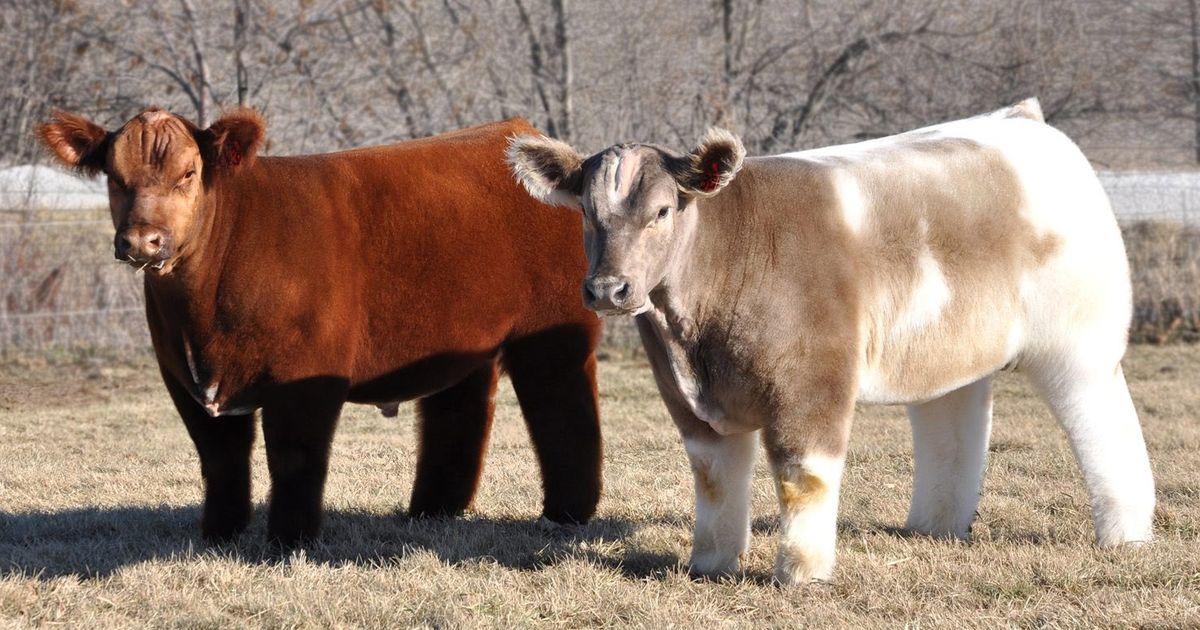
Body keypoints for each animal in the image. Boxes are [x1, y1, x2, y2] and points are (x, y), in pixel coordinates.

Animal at [37, 108, 603, 546]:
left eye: (188, 173)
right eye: (114, 176)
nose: (142, 241)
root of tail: (521, 133)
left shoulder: (305, 375)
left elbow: (294, 456)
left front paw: (289, 542)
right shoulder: (182, 377)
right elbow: (220, 458)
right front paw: (219, 535)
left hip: (554, 330)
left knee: (562, 409)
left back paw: (567, 514)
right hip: (460, 338)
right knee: (458, 411)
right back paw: (434, 510)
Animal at [507, 98, 1155, 584]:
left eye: (663, 210)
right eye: (586, 213)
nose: (608, 289)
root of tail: (1022, 120)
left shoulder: (810, 383)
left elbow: (804, 478)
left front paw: (802, 573)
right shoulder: (690, 402)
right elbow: (714, 478)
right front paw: (710, 564)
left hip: (1079, 345)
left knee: (1106, 429)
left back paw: (1126, 535)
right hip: (948, 348)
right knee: (950, 422)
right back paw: (936, 525)